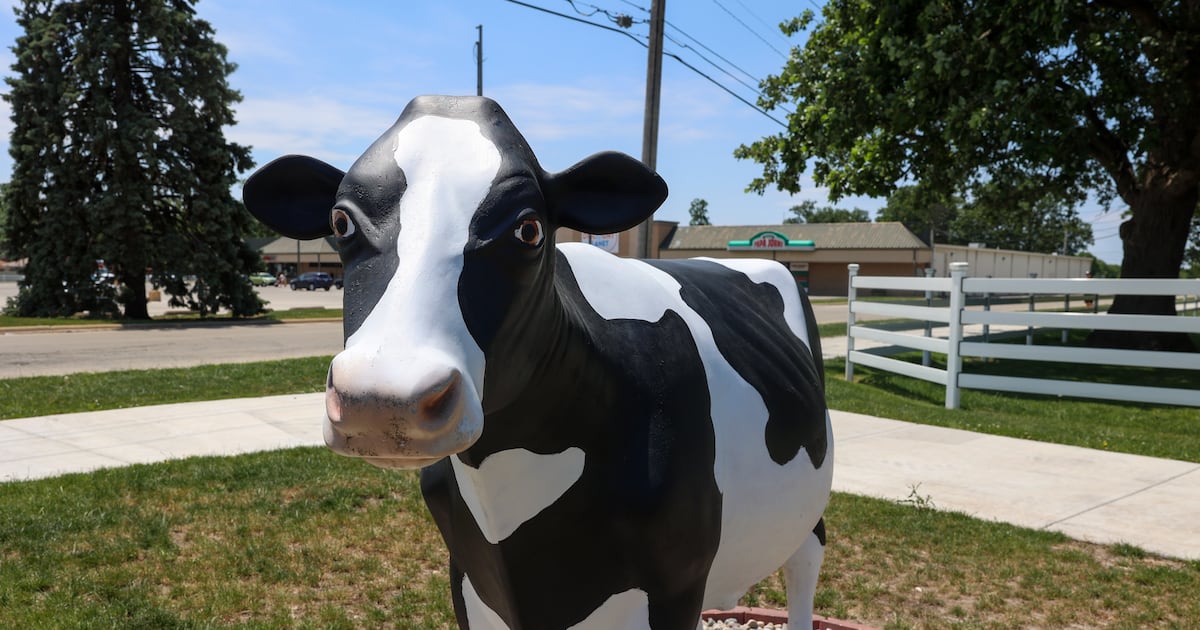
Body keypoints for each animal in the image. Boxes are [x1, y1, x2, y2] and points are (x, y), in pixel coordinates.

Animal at [242, 95, 833, 630]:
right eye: (341, 222)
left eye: (528, 229)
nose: (383, 400)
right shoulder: (467, 573)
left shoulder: (679, 578)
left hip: (806, 517)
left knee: (805, 565)